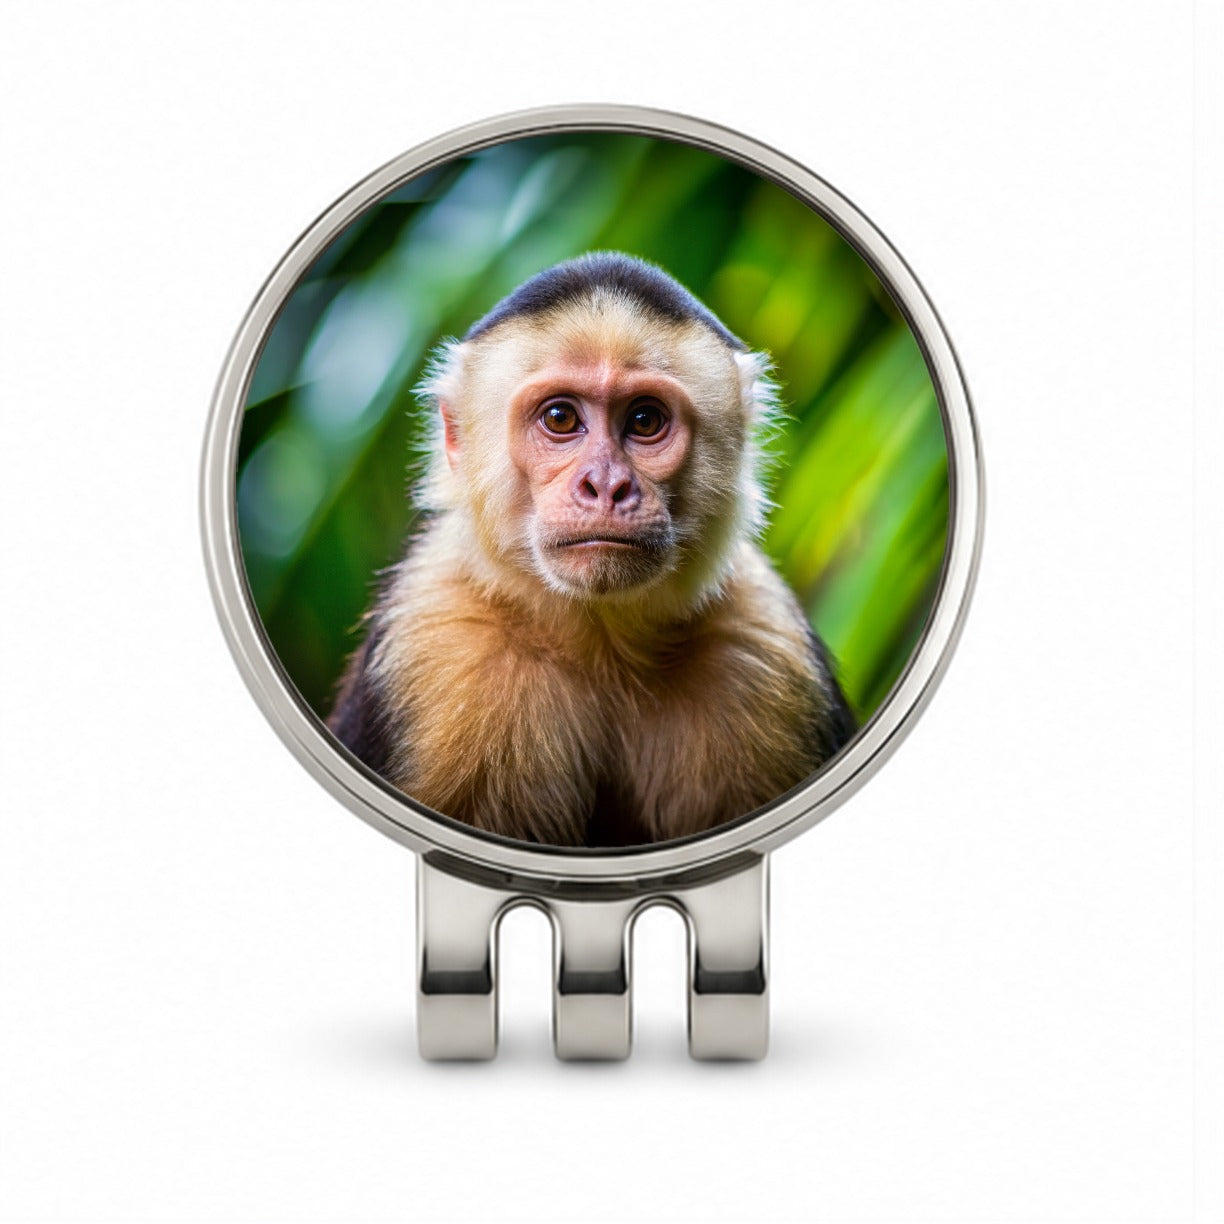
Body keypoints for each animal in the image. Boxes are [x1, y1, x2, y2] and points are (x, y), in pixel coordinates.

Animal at [328, 252, 856, 847]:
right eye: (560, 418)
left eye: (645, 420)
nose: (605, 485)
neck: (601, 647)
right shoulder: (434, 636)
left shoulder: (766, 642)